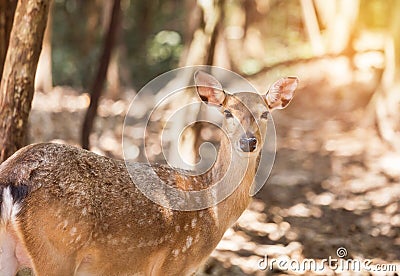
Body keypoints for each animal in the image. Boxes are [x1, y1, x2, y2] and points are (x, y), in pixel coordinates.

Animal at [0, 70, 296, 274]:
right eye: (227, 113)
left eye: (265, 114)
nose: (248, 141)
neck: (212, 210)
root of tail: (12, 175)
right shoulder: (174, 261)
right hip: (58, 248)